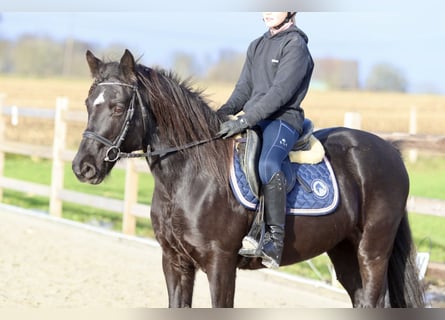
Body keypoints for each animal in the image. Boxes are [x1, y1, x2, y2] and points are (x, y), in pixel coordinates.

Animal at [72, 49, 424, 308]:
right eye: (88, 104)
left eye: (118, 107)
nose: (83, 167)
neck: (189, 178)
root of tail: (391, 152)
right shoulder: (174, 262)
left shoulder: (221, 264)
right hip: (344, 250)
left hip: (372, 252)